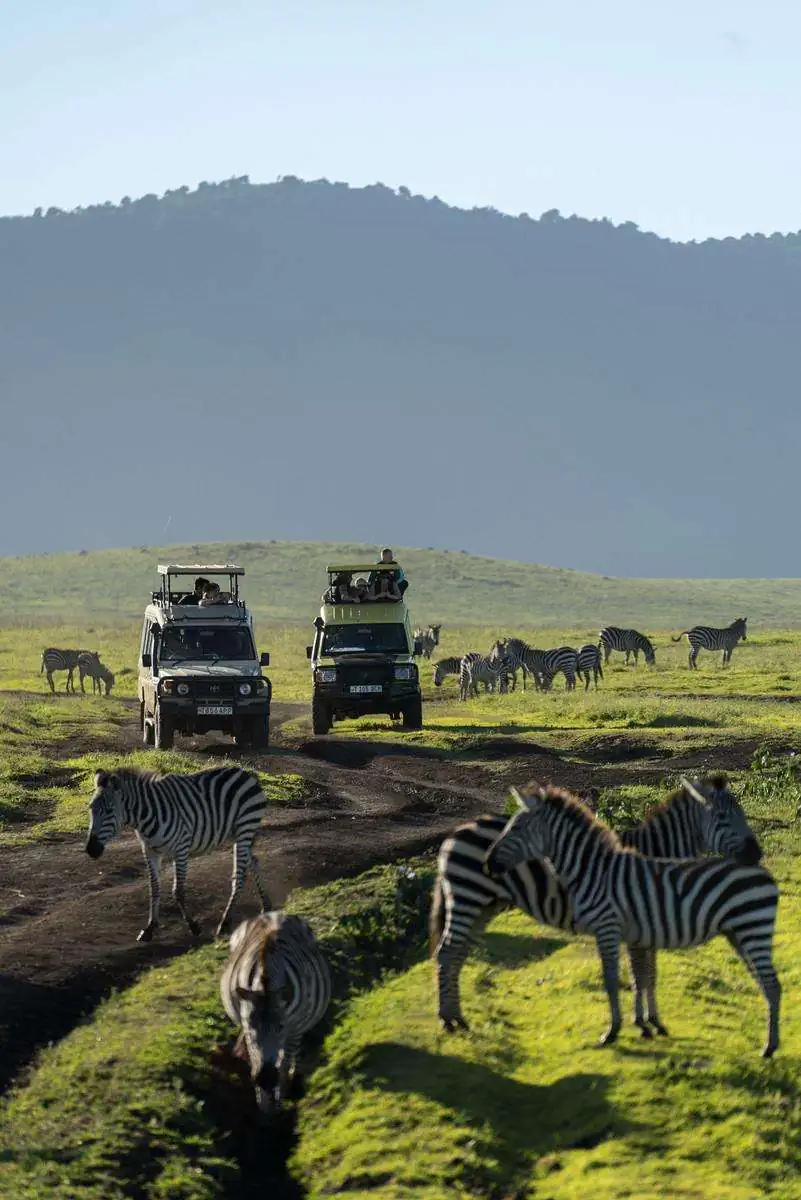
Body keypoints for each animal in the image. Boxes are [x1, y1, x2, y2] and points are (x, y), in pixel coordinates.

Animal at [85, 763, 272, 940]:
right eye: (90, 808)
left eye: (109, 811)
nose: (91, 850)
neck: (146, 816)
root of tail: (246, 773)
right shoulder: (149, 851)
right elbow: (154, 888)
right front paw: (150, 927)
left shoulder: (181, 849)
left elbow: (178, 891)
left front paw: (193, 926)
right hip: (232, 835)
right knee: (254, 861)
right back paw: (266, 906)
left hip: (244, 829)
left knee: (238, 877)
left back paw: (224, 923)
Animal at [220, 907, 330, 1113]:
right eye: (251, 1028)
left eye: (280, 1027)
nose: (266, 1079)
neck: (265, 983)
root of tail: (272, 913)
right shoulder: (247, 1026)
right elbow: (255, 1059)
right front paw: (264, 1105)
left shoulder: (292, 1030)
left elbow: (285, 1064)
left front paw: (279, 1101)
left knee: (292, 1057)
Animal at [431, 772, 757, 1036]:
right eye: (725, 819)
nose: (757, 854)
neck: (655, 854)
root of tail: (457, 831)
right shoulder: (638, 924)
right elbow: (641, 973)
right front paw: (642, 1023)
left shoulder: (649, 924)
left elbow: (650, 973)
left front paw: (653, 1021)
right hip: (467, 898)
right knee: (447, 952)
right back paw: (447, 1020)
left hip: (482, 906)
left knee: (458, 955)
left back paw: (459, 1018)